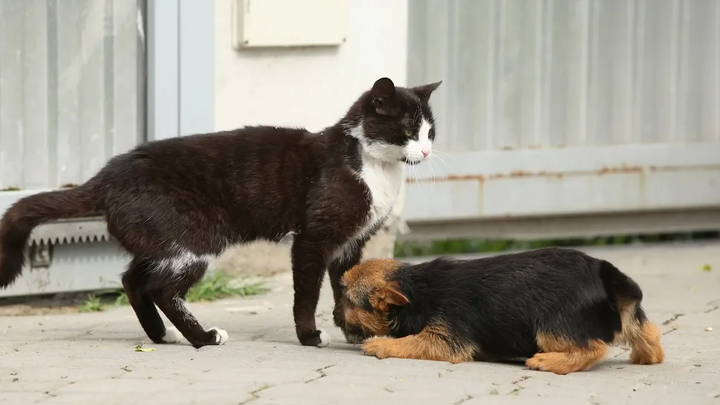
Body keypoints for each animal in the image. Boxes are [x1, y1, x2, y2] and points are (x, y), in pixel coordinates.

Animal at [0, 76, 442, 348]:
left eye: (430, 132)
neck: (374, 167)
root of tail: (104, 177)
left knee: (133, 279)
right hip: (193, 239)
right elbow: (307, 292)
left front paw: (354, 331)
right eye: (408, 130)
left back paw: (162, 335)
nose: (425, 151)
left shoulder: (352, 243)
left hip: (159, 238)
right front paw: (310, 337)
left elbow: (346, 285)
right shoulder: (313, 237)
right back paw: (204, 338)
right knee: (161, 288)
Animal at [340, 248, 668, 374]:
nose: (332, 314)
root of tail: (603, 275)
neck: (416, 289)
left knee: (593, 348)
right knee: (647, 329)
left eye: (346, 299)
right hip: (627, 315)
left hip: (551, 328)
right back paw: (647, 356)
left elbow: (409, 343)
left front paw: (380, 345)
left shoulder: (444, 339)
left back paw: (548, 362)